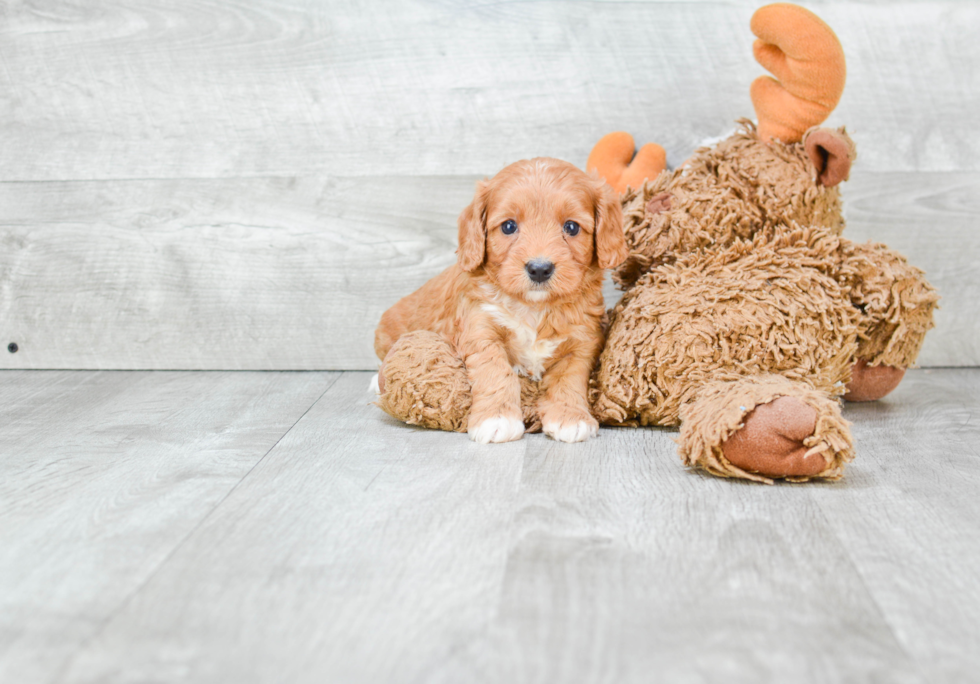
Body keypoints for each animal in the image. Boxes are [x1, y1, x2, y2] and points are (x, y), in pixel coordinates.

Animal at [376, 158, 628, 444]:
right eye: (509, 226)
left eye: (572, 227)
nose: (539, 269)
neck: (534, 308)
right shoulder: (481, 329)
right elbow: (496, 372)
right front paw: (496, 419)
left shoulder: (582, 341)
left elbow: (569, 379)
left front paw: (571, 417)